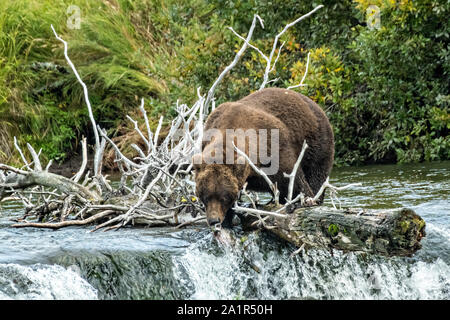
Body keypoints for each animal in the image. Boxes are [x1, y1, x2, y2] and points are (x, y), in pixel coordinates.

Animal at [192, 87, 332, 226]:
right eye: (205, 196)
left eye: (224, 197)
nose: (213, 220)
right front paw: (229, 217)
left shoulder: (274, 148)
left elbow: (294, 180)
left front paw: (301, 201)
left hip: (316, 141)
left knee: (316, 173)